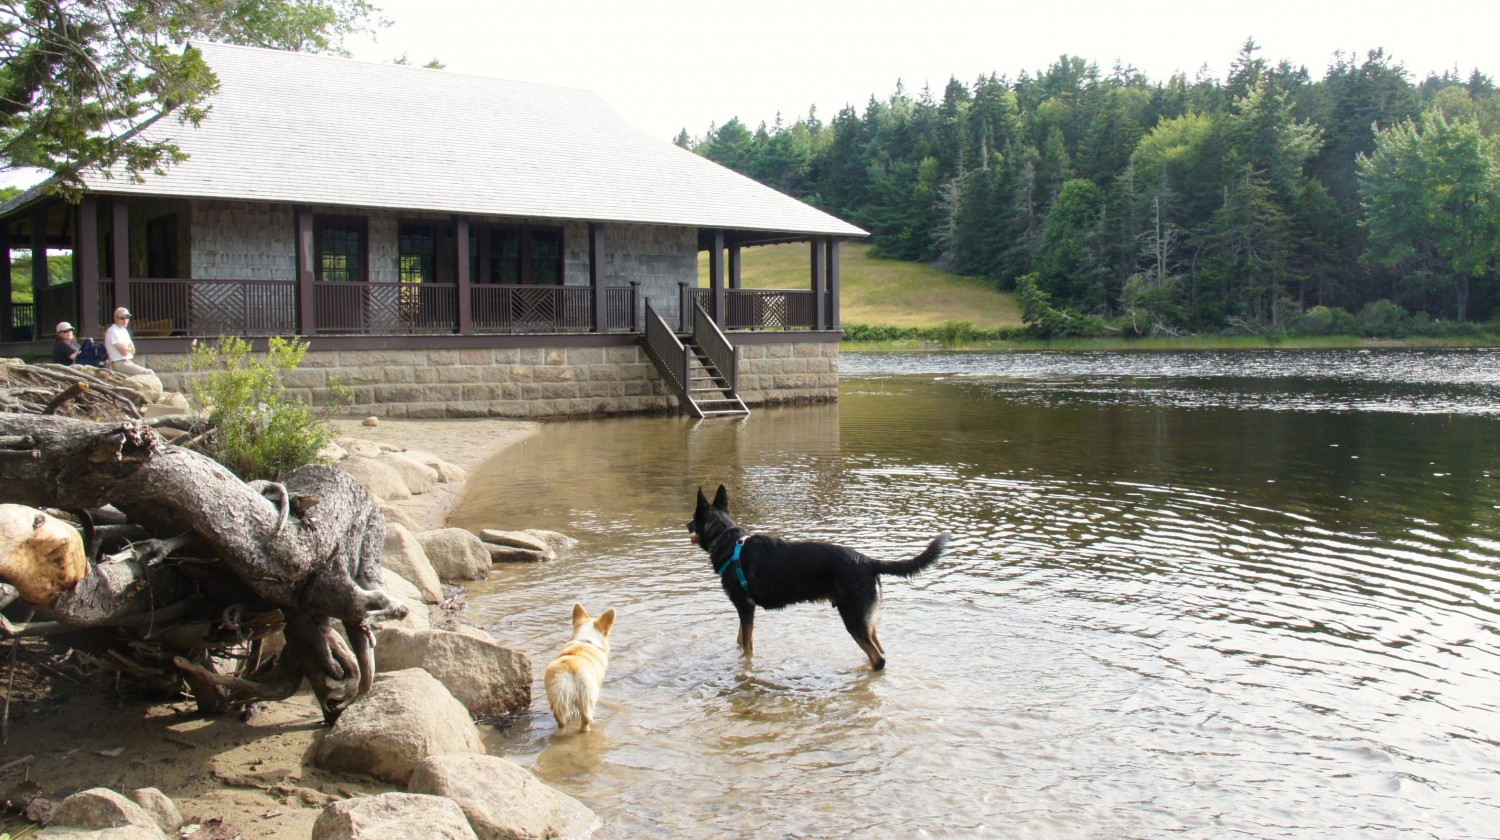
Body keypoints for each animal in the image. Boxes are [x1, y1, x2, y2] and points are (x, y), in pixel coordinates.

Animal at [687, 486, 942, 669]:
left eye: (693, 516)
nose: (686, 524)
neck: (726, 539)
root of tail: (867, 561)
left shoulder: (745, 606)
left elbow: (748, 646)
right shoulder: (746, 609)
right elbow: (740, 641)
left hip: (852, 618)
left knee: (879, 659)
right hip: (867, 620)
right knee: (879, 649)